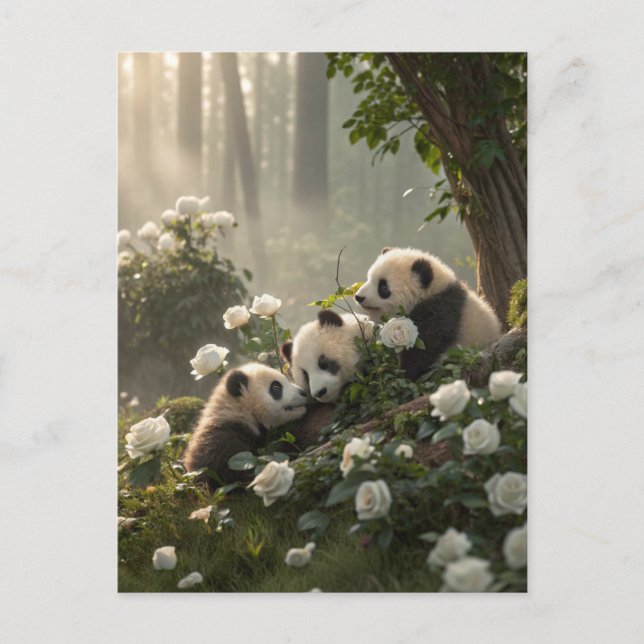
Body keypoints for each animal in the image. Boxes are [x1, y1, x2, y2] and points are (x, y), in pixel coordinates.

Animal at [355, 247, 502, 380]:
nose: (359, 297)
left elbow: (422, 351)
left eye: (383, 288)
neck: (432, 291)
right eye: (369, 279)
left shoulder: (439, 313)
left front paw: (405, 373)